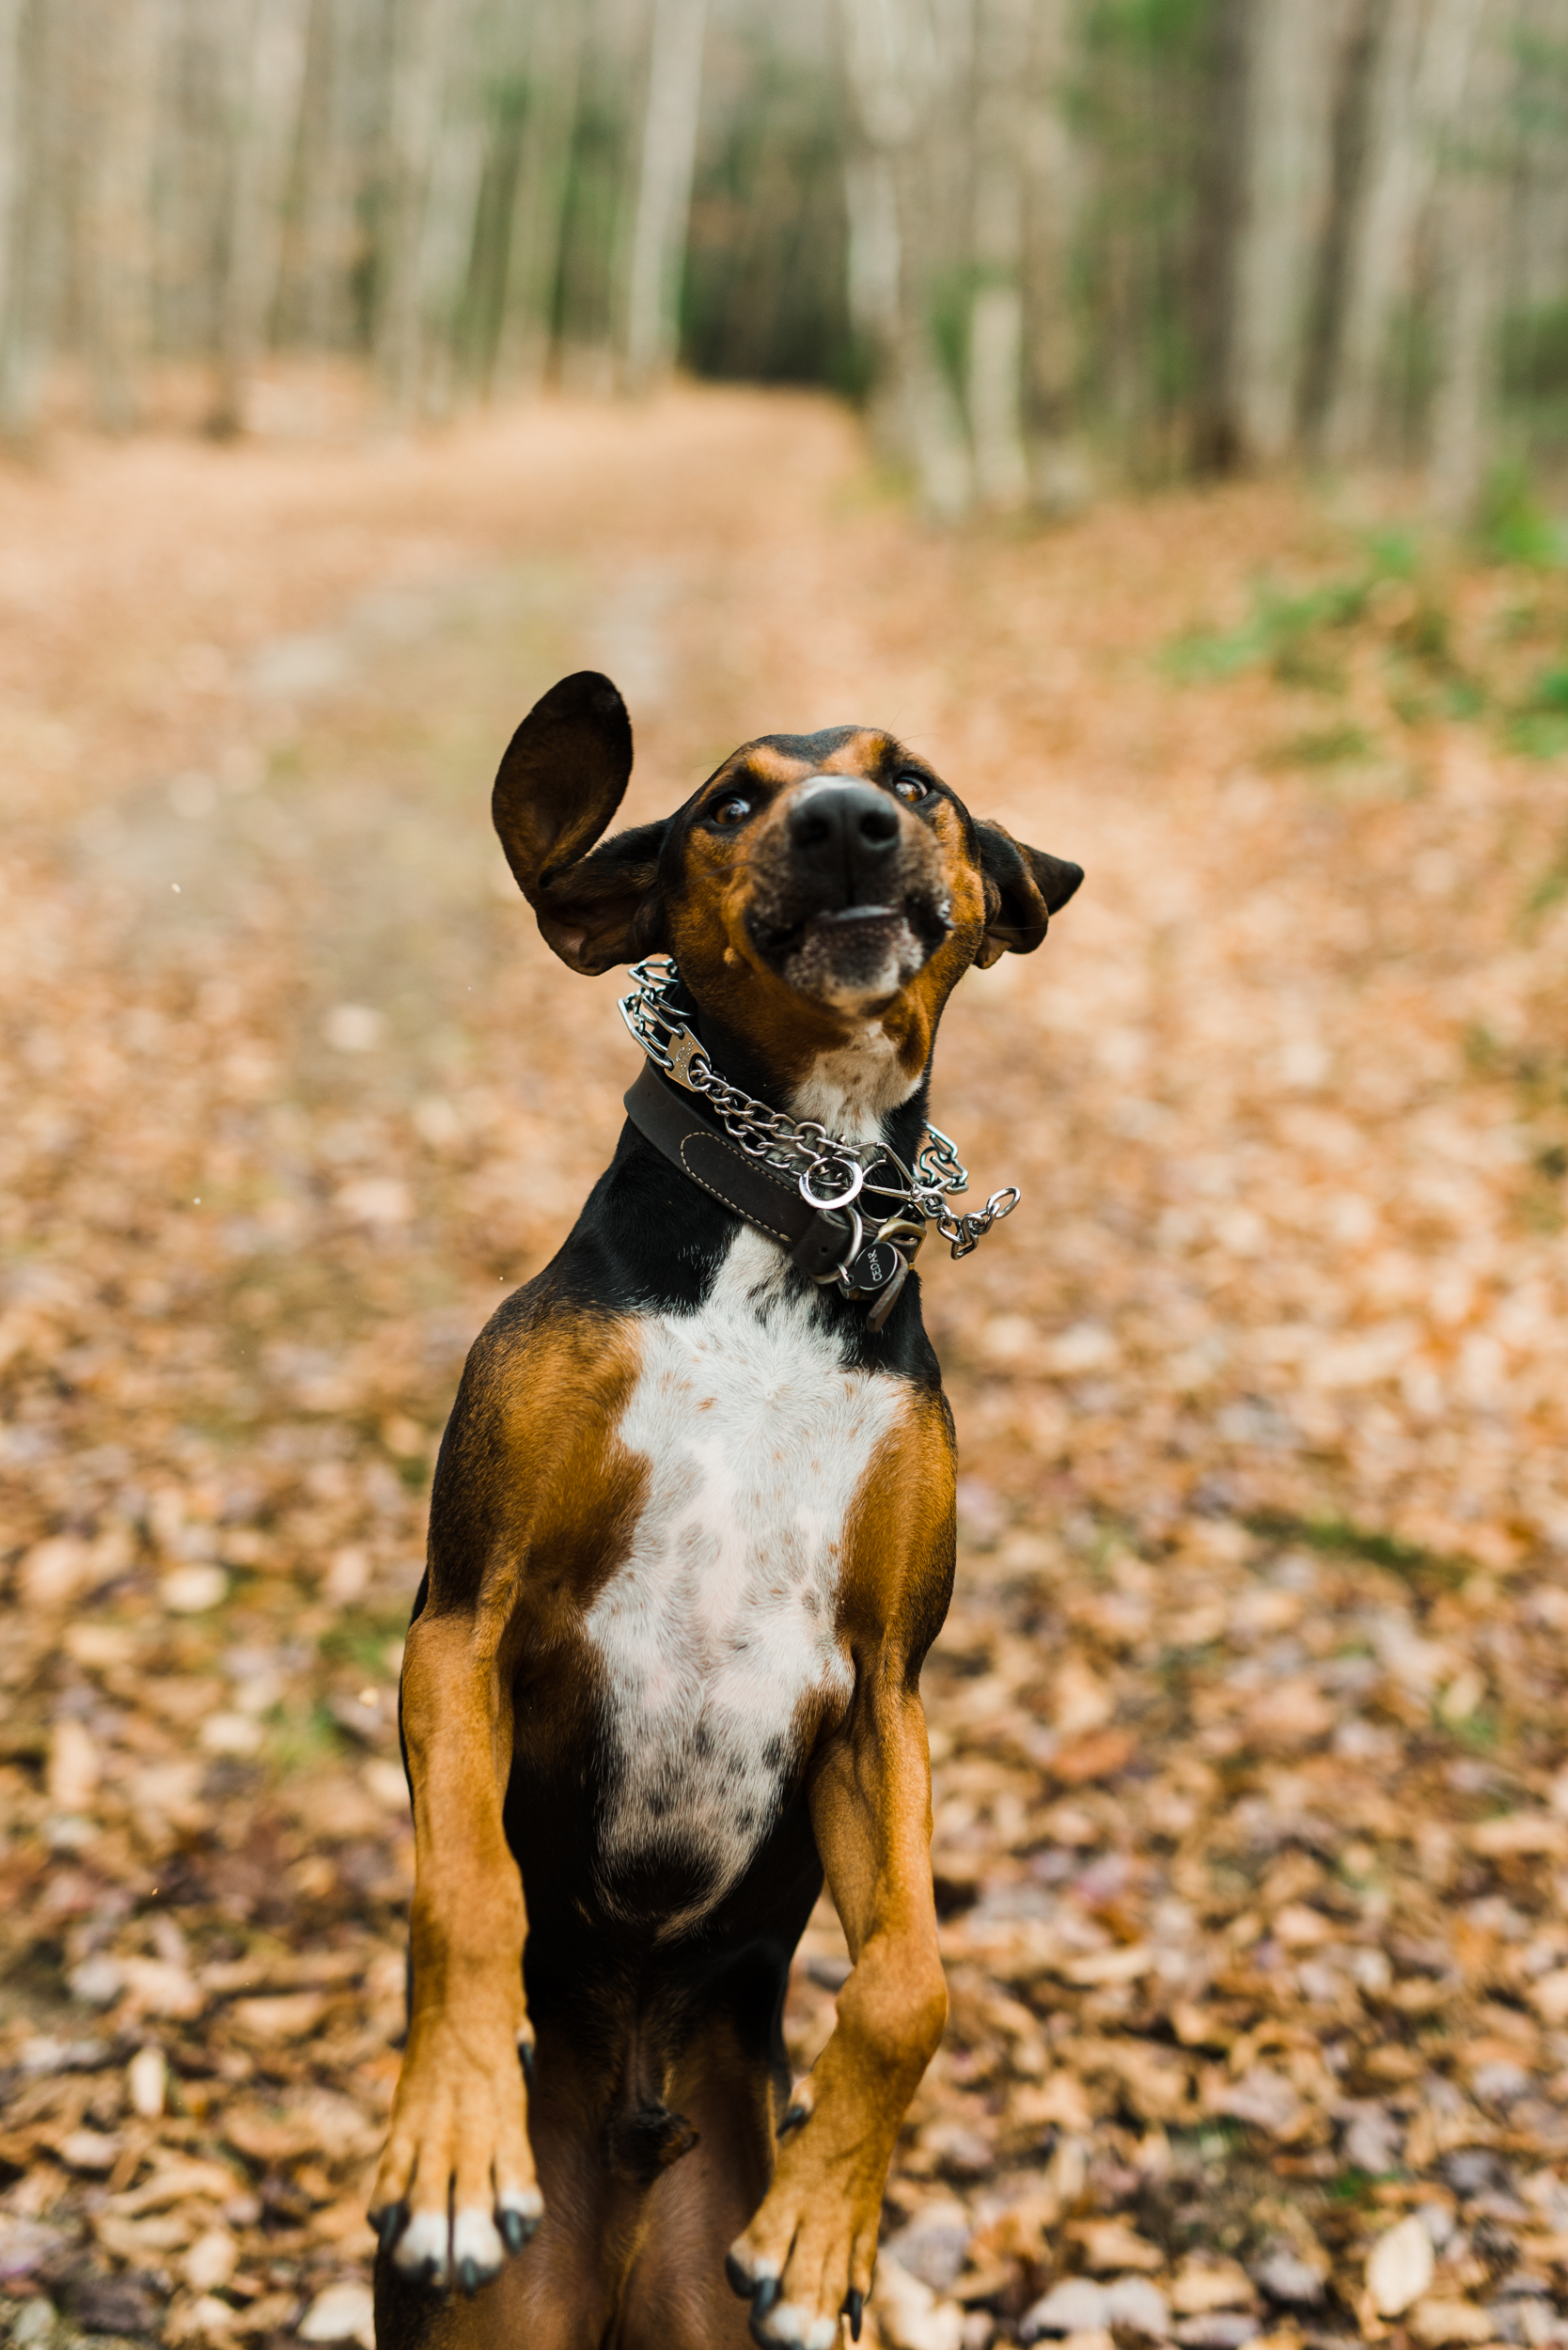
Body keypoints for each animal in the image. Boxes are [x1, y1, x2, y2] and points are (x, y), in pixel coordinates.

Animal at [371, 677, 1081, 2350]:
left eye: (917, 780)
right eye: (729, 806)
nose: (848, 824)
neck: (797, 1210)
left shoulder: (881, 1695)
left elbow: (910, 1988)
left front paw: (825, 2232)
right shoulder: (463, 1620)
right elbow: (468, 1894)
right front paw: (453, 2142)